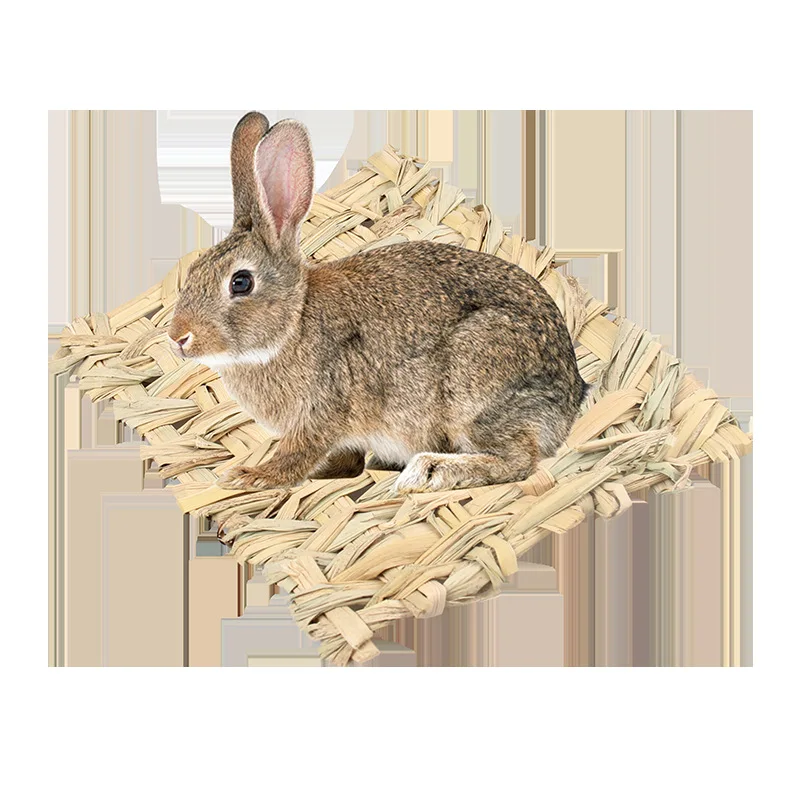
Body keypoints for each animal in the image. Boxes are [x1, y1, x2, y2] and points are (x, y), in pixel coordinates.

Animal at [167, 111, 589, 495]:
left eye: (240, 282)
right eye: (193, 271)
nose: (178, 338)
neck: (292, 324)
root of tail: (570, 397)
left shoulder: (322, 411)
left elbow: (297, 454)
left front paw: (251, 476)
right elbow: (344, 460)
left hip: (475, 385)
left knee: (517, 461)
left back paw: (429, 471)